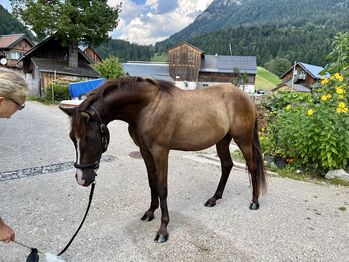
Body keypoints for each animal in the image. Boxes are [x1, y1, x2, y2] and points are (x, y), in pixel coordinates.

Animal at [59, 75, 266, 244]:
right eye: (72, 138)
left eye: (90, 138)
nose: (82, 179)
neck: (147, 106)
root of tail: (246, 98)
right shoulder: (145, 151)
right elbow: (152, 183)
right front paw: (150, 212)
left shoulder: (160, 151)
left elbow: (162, 187)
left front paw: (163, 230)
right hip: (222, 140)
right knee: (226, 165)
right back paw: (214, 199)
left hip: (243, 140)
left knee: (252, 167)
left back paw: (255, 202)